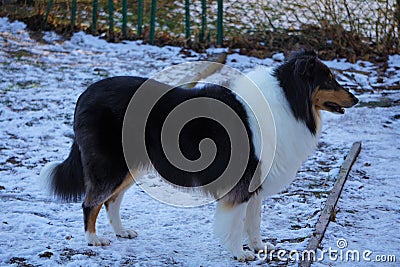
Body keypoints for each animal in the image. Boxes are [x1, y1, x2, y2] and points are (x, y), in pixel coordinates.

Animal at [41, 50, 360, 262]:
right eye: (329, 79)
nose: (356, 98)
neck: (288, 100)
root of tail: (86, 93)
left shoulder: (256, 183)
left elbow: (254, 221)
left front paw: (259, 247)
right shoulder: (240, 185)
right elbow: (236, 223)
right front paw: (239, 253)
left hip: (130, 166)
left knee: (111, 201)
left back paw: (122, 232)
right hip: (110, 165)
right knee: (91, 201)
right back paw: (93, 239)